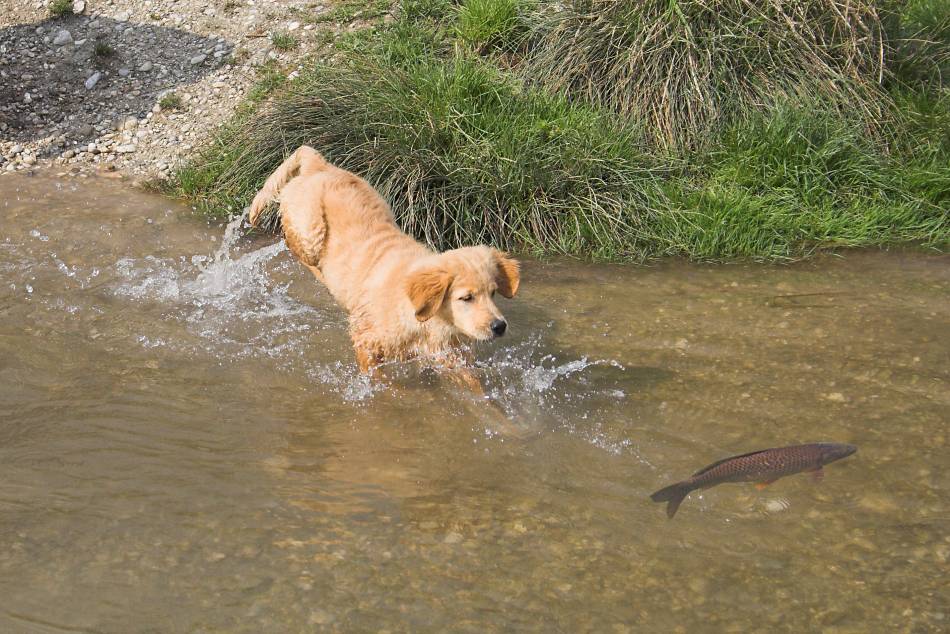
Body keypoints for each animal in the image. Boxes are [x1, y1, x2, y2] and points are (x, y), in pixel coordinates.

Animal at [247, 146, 520, 378]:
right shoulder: (367, 341)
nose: (500, 326)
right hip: (308, 232)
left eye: (493, 293)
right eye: (466, 298)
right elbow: (378, 380)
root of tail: (320, 165)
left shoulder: (448, 355)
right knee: (296, 247)